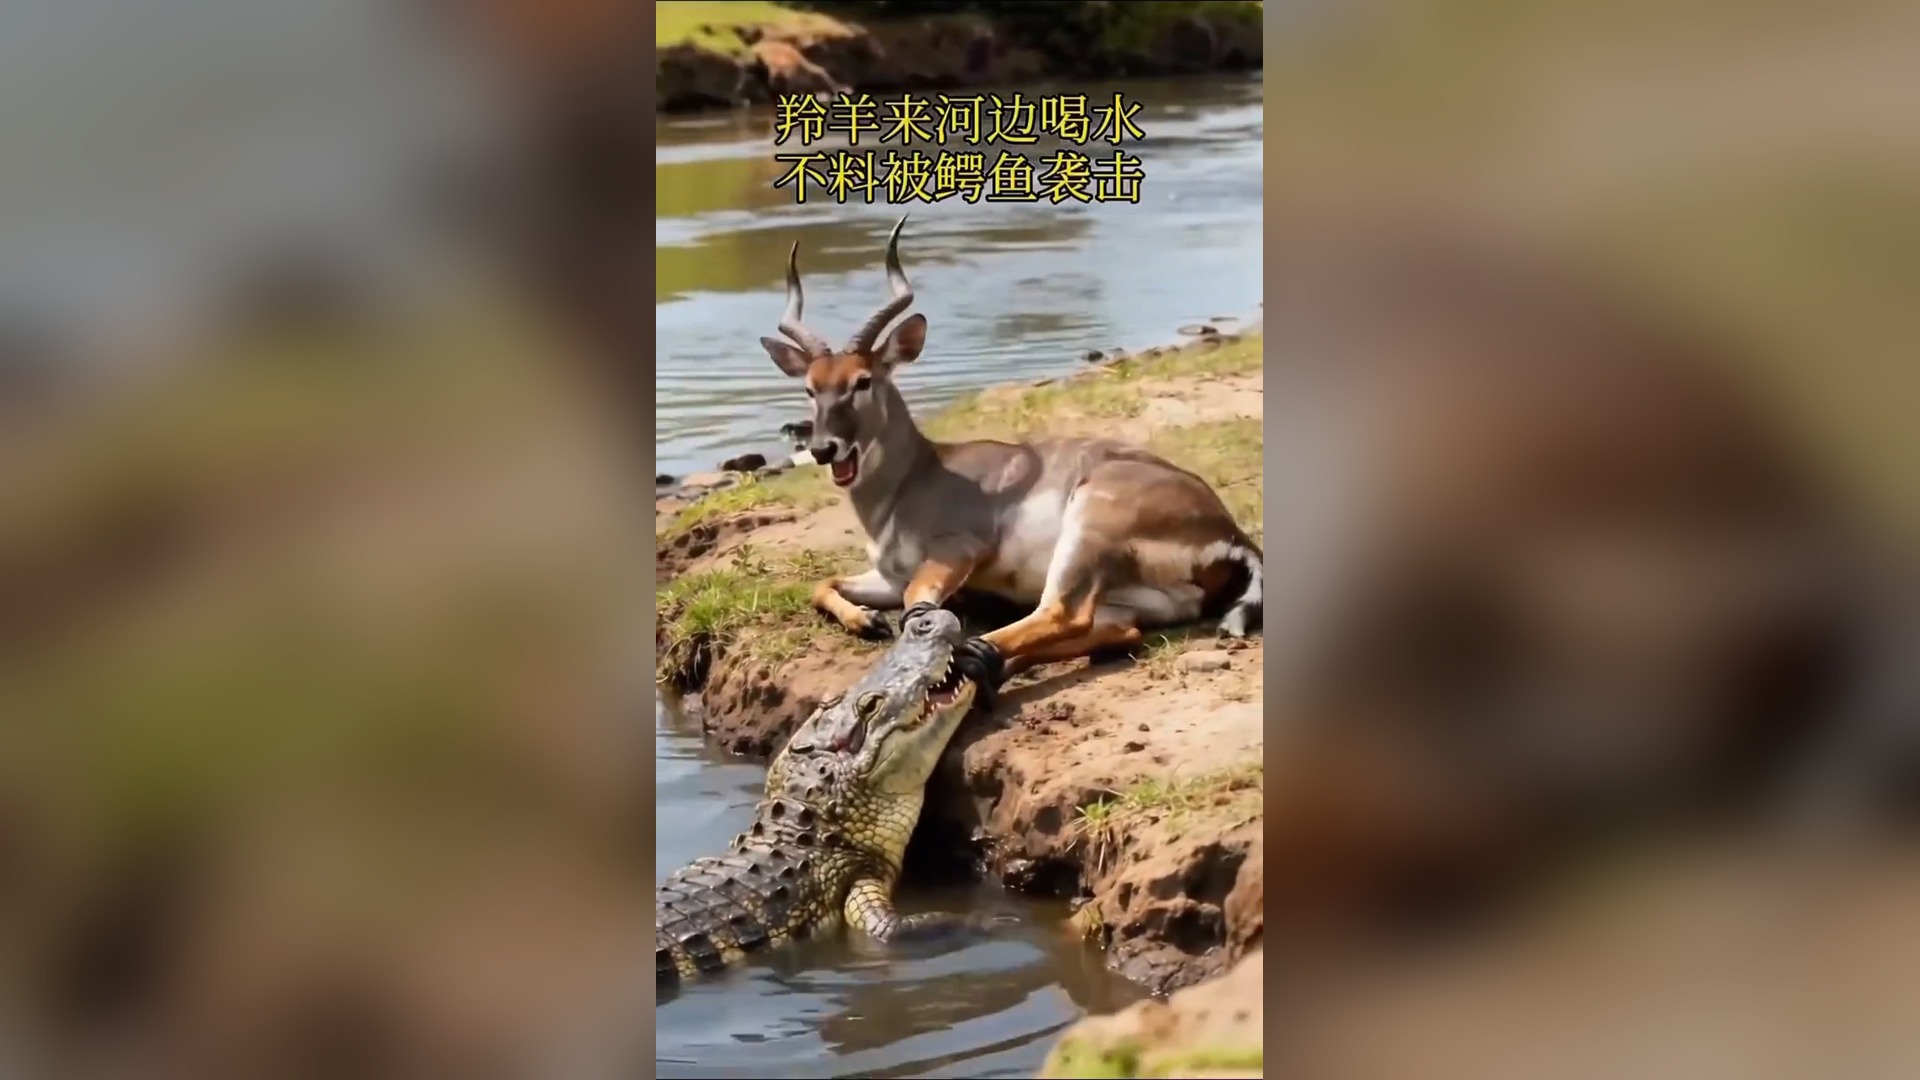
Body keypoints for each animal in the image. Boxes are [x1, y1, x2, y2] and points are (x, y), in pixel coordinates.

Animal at [759, 215, 1264, 702]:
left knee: (1063, 612)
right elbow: (824, 584)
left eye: (862, 381)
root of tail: (1232, 534)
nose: (824, 448)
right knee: (1120, 631)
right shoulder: (888, 576)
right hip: (1131, 598)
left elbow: (918, 604)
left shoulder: (955, 551)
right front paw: (867, 620)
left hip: (1087, 529)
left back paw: (980, 655)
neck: (912, 482)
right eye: (811, 388)